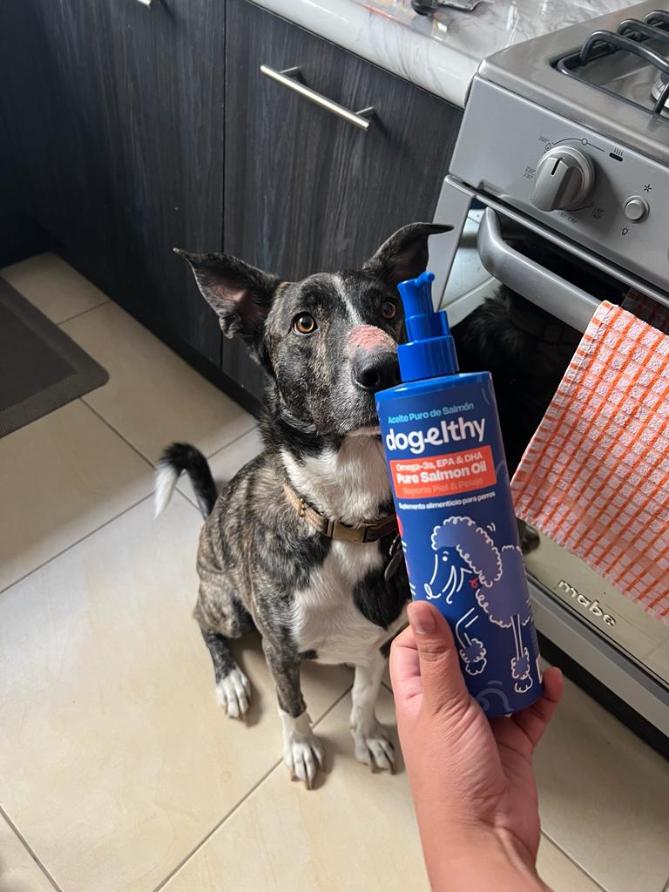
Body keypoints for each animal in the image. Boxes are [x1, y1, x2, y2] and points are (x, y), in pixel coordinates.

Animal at [154, 222, 451, 788]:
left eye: (388, 308)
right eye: (304, 323)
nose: (385, 367)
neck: (343, 519)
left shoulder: (378, 642)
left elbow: (364, 693)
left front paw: (368, 734)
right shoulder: (280, 647)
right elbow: (292, 704)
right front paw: (301, 746)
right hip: (229, 607)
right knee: (203, 618)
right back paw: (230, 681)